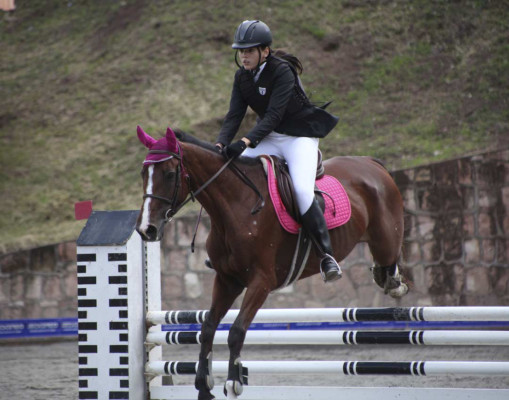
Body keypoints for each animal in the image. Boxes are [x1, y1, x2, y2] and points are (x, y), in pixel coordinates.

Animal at [134, 126, 404, 400]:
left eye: (169, 174)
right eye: (144, 174)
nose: (147, 229)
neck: (237, 205)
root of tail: (371, 163)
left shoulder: (261, 282)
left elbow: (237, 330)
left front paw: (233, 382)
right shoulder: (227, 280)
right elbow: (208, 326)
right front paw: (203, 384)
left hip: (384, 241)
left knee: (390, 260)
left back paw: (392, 283)